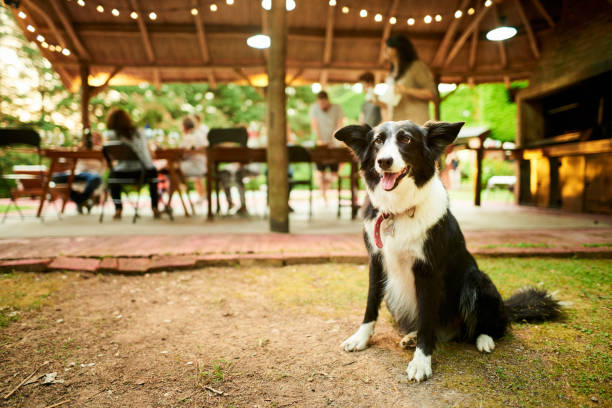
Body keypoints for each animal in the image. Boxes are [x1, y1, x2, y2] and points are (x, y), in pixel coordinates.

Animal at [338, 121, 560, 382]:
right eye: (378, 141)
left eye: (406, 140)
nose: (383, 161)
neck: (400, 209)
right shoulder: (377, 262)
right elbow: (371, 304)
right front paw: (361, 338)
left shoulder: (427, 270)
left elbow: (426, 319)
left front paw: (421, 361)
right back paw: (413, 337)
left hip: (476, 280)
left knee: (494, 326)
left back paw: (484, 339)